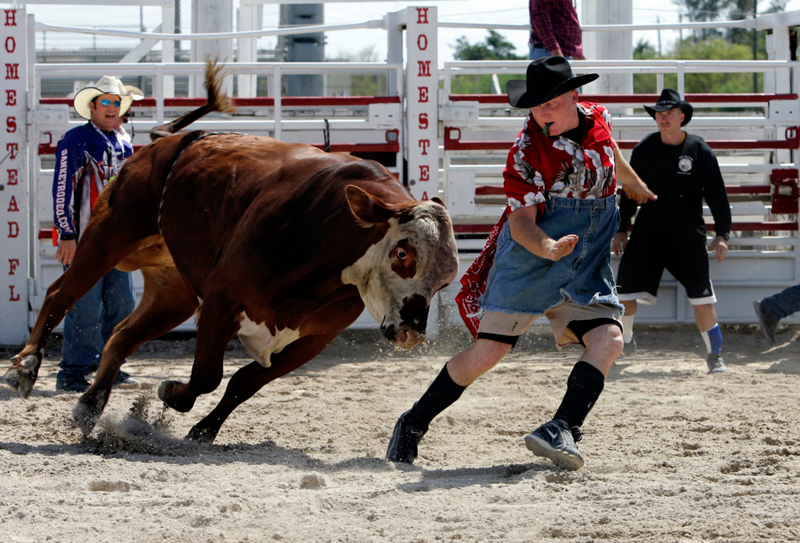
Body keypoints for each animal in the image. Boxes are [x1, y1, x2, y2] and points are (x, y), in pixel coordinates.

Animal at [4, 65, 456, 446]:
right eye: (402, 252)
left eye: (447, 279)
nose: (412, 332)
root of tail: (165, 142)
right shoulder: (222, 297)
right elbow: (207, 375)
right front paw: (172, 392)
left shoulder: (314, 338)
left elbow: (244, 382)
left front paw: (203, 430)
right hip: (108, 233)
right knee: (61, 293)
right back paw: (26, 366)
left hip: (173, 291)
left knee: (122, 334)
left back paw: (90, 404)